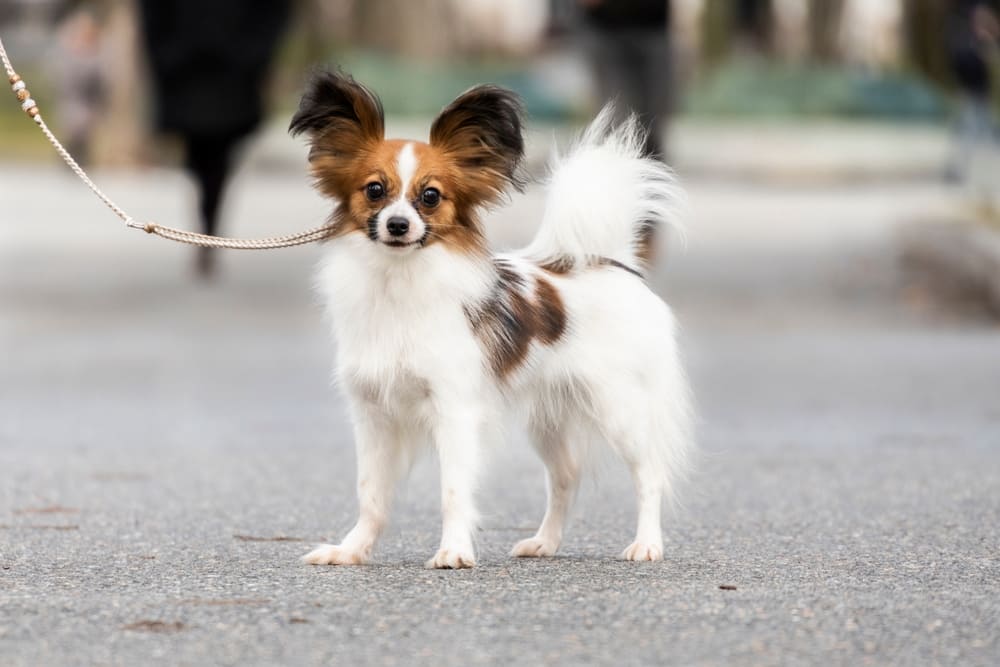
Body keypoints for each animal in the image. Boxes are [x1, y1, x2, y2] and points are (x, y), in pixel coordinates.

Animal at [292, 70, 688, 568]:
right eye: (375, 190)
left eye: (430, 196)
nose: (398, 225)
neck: (398, 283)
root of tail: (610, 261)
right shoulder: (373, 414)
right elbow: (371, 495)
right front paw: (351, 551)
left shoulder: (454, 409)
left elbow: (453, 491)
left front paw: (454, 551)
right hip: (549, 419)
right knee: (567, 476)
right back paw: (544, 543)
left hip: (619, 409)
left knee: (648, 472)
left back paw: (647, 544)